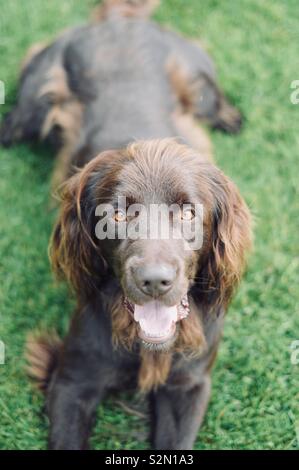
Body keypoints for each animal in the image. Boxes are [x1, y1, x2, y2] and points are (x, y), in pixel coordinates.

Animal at [0, 0, 252, 450]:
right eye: (115, 214)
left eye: (188, 212)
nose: (154, 281)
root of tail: (121, 19)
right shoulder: (71, 380)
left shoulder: (189, 385)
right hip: (33, 103)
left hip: (198, 84)